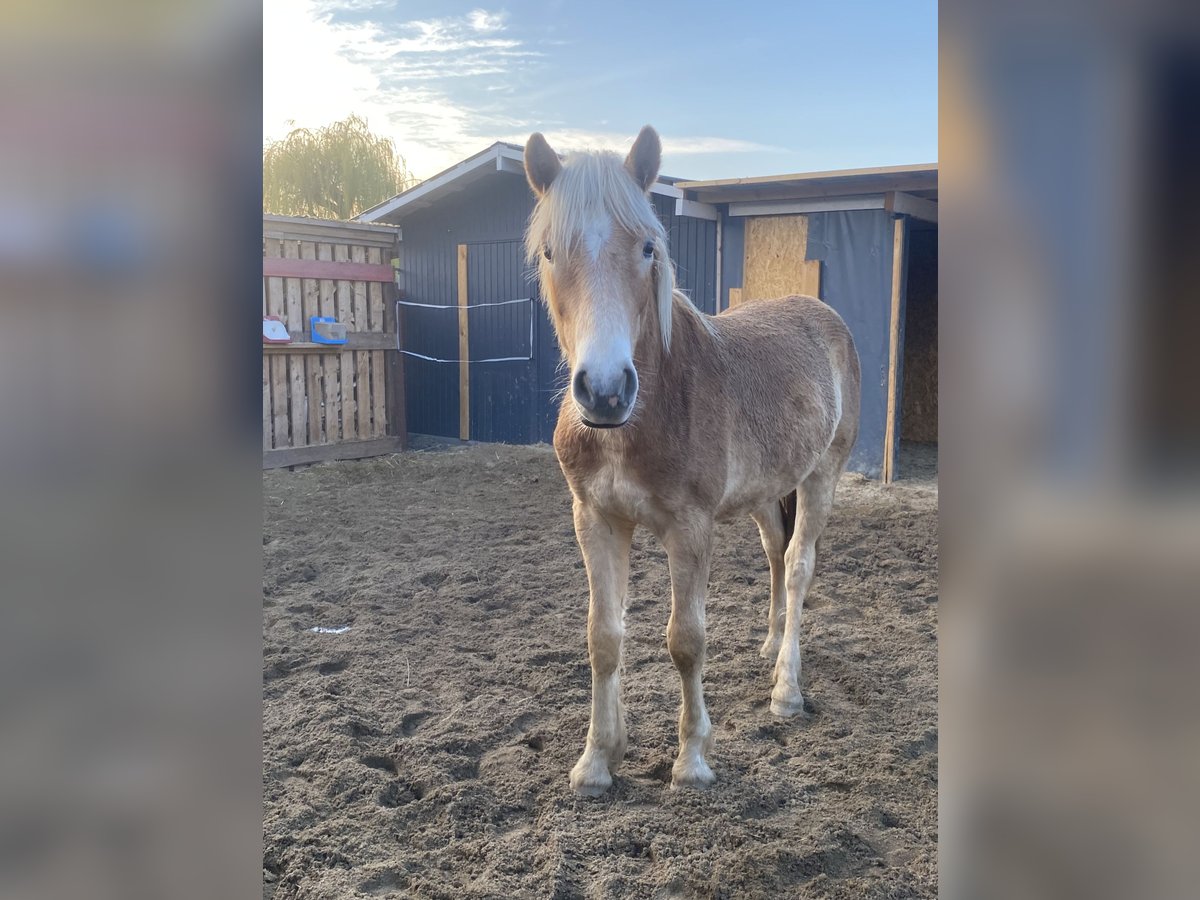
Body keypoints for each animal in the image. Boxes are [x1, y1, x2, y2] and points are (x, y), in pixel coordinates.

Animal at [524, 126, 861, 795]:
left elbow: (685, 641)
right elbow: (604, 637)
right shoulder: (595, 519)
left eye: (648, 247)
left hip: (821, 475)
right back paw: (770, 646)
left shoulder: (690, 527)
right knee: (776, 556)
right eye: (550, 252)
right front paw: (598, 759)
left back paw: (786, 689)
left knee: (800, 565)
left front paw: (693, 759)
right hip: (766, 492)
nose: (606, 391)